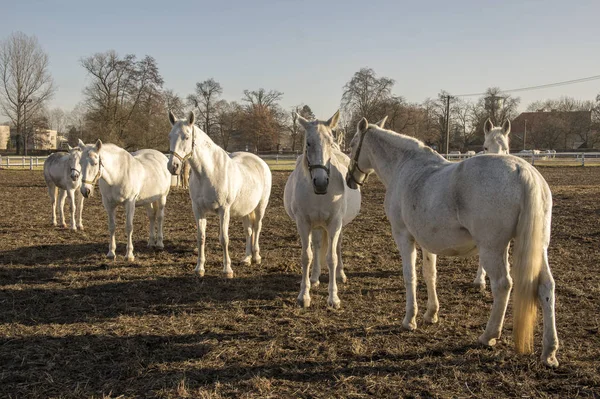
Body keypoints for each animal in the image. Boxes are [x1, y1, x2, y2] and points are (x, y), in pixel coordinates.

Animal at [168, 110, 274, 278]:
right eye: (170, 136)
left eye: (186, 137)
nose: (173, 166)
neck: (208, 172)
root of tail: (260, 161)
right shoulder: (198, 210)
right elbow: (201, 238)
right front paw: (199, 268)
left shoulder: (224, 210)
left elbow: (224, 239)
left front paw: (227, 270)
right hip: (246, 209)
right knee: (249, 231)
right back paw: (247, 258)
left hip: (260, 206)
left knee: (257, 228)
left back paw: (256, 257)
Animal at [284, 111, 364, 310]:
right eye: (308, 143)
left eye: (330, 140)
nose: (320, 183)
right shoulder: (303, 223)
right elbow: (307, 256)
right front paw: (304, 295)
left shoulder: (335, 222)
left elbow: (332, 257)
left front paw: (333, 298)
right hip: (317, 226)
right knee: (317, 245)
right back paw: (314, 278)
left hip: (337, 225)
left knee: (338, 246)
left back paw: (340, 275)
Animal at [344, 117, 560, 368]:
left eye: (352, 145)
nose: (350, 179)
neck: (405, 167)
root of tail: (522, 170)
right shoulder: (426, 241)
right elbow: (430, 274)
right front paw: (431, 314)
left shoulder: (403, 236)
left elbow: (410, 276)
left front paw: (409, 319)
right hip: (539, 247)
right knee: (546, 286)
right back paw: (549, 351)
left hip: (493, 248)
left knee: (503, 285)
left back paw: (489, 336)